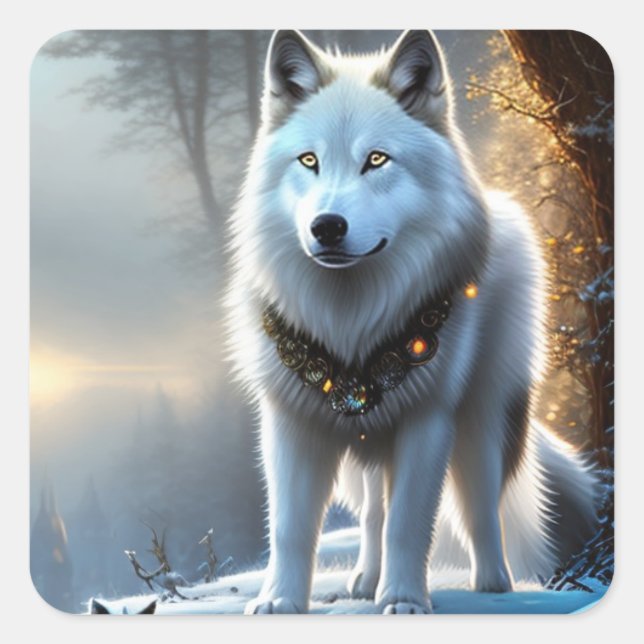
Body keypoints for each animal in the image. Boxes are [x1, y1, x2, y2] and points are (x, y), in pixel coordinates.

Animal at [225, 29, 600, 614]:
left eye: (376, 160)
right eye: (309, 160)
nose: (326, 227)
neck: (351, 317)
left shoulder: (429, 420)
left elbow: (410, 522)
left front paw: (403, 600)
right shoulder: (292, 421)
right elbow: (289, 527)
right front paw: (280, 601)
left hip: (482, 419)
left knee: (480, 505)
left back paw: (494, 584)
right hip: (371, 447)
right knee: (373, 510)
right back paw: (365, 579)